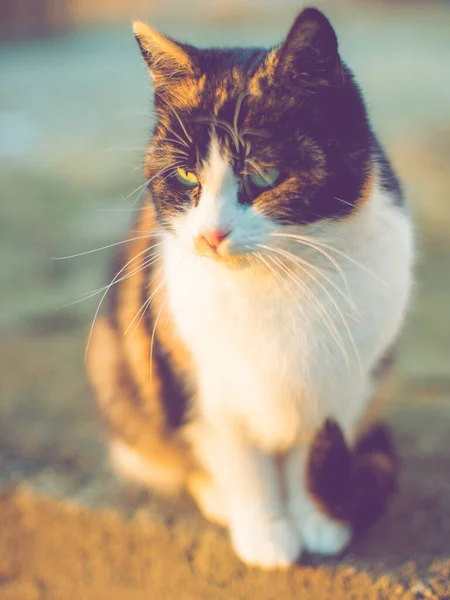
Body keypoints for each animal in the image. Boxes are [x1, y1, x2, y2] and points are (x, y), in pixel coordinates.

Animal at [86, 8, 414, 568]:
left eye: (264, 174)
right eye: (185, 175)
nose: (210, 235)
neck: (279, 279)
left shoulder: (346, 381)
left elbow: (310, 456)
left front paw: (317, 521)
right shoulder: (202, 385)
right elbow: (243, 464)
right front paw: (266, 534)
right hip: (118, 364)